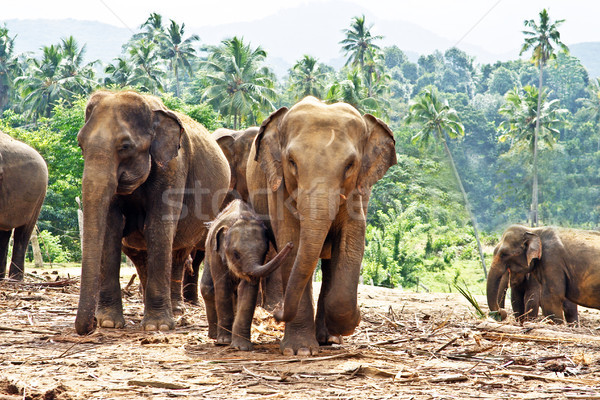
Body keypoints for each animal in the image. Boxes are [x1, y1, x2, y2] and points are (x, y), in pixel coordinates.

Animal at [76, 90, 231, 334]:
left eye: (125, 146)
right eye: (80, 145)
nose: (91, 325)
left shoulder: (173, 167)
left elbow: (159, 227)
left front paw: (158, 326)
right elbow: (111, 229)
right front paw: (109, 322)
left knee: (178, 253)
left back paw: (176, 310)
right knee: (140, 256)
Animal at [202, 200, 292, 350]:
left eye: (264, 252)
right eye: (236, 254)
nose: (291, 244)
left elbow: (248, 289)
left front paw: (241, 347)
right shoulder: (216, 256)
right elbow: (222, 288)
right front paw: (224, 341)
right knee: (208, 289)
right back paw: (214, 336)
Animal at [246, 95, 396, 354]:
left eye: (350, 165)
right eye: (292, 162)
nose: (276, 313)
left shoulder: (359, 192)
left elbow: (352, 241)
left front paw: (349, 322)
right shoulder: (278, 186)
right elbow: (293, 241)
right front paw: (300, 351)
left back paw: (329, 338)